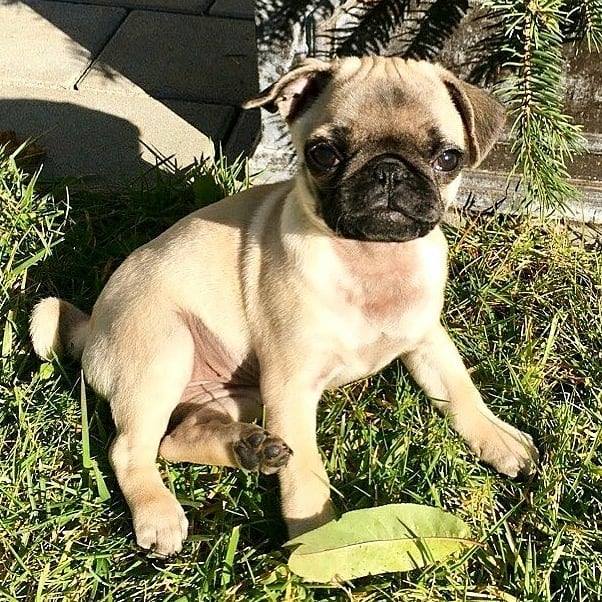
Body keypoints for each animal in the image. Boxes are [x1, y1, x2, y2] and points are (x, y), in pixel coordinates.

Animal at [29, 56, 536, 552]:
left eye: (448, 158)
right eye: (323, 154)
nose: (389, 170)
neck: (371, 259)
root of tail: (92, 326)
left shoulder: (427, 339)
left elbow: (460, 392)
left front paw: (497, 438)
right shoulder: (291, 389)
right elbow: (306, 479)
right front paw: (317, 543)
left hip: (241, 395)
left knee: (174, 440)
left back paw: (249, 449)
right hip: (164, 353)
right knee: (130, 448)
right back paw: (159, 512)